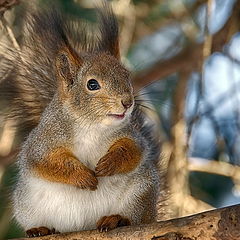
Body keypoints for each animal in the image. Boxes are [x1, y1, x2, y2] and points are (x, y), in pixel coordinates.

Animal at [0, 0, 165, 237]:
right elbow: (47, 162)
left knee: (134, 216)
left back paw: (117, 219)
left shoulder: (132, 136)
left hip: (141, 193)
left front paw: (110, 163)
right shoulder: (42, 142)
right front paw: (83, 176)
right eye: (92, 84)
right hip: (26, 205)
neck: (92, 126)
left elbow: (133, 150)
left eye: (127, 76)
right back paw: (40, 229)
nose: (127, 102)